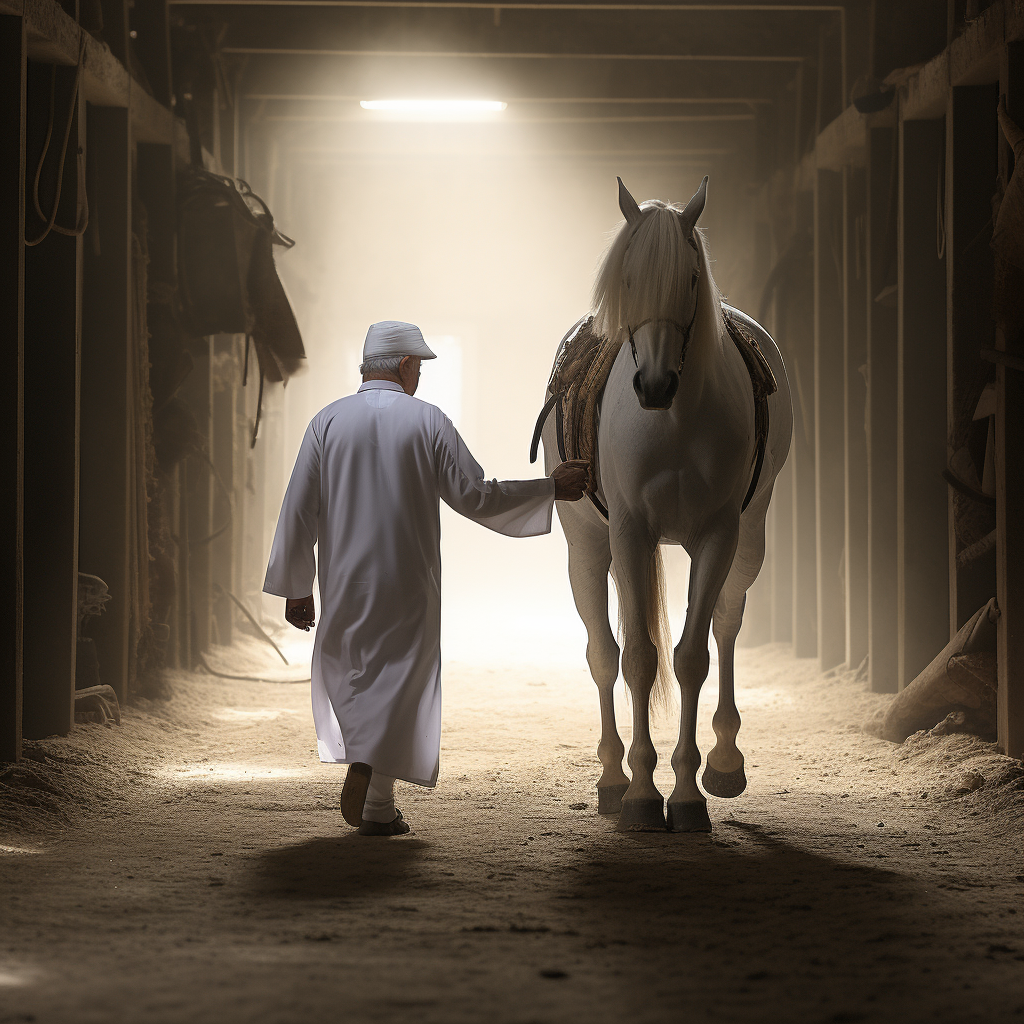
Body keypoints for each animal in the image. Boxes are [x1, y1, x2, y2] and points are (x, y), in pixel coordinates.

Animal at [544, 178, 790, 831]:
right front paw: (638, 795)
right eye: (628, 280)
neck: (674, 421)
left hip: (749, 540)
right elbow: (637, 659)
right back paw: (611, 778)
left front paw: (685, 794)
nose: (653, 385)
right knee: (603, 653)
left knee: (726, 624)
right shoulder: (630, 533)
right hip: (588, 547)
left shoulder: (719, 535)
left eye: (690, 279)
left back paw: (725, 763)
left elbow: (691, 659)